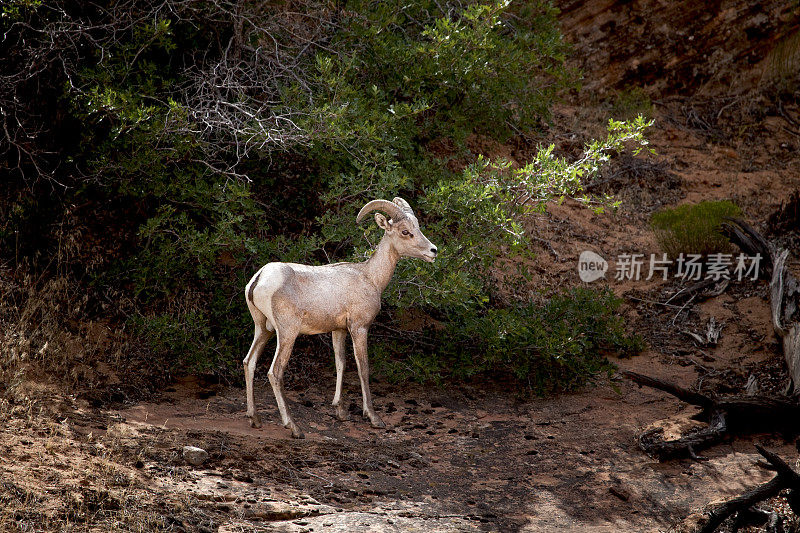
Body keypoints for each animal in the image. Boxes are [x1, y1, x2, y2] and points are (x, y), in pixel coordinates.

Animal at [242, 195, 438, 436]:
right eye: (405, 231)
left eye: (417, 227)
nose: (433, 251)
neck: (370, 277)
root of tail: (259, 279)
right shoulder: (359, 328)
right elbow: (363, 367)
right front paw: (374, 417)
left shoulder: (338, 330)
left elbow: (340, 364)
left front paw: (341, 411)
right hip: (287, 333)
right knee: (275, 372)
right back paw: (294, 427)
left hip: (263, 329)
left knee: (249, 362)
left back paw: (254, 418)